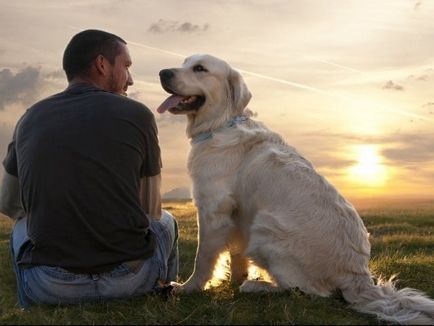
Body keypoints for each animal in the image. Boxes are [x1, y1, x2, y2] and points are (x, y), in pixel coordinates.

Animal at [158, 54, 434, 324]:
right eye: (184, 63)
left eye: (200, 68)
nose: (163, 72)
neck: (221, 124)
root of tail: (357, 275)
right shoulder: (238, 214)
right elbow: (236, 254)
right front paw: (234, 279)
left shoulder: (213, 210)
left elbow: (203, 257)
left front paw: (188, 287)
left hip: (266, 227)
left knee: (307, 290)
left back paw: (258, 286)